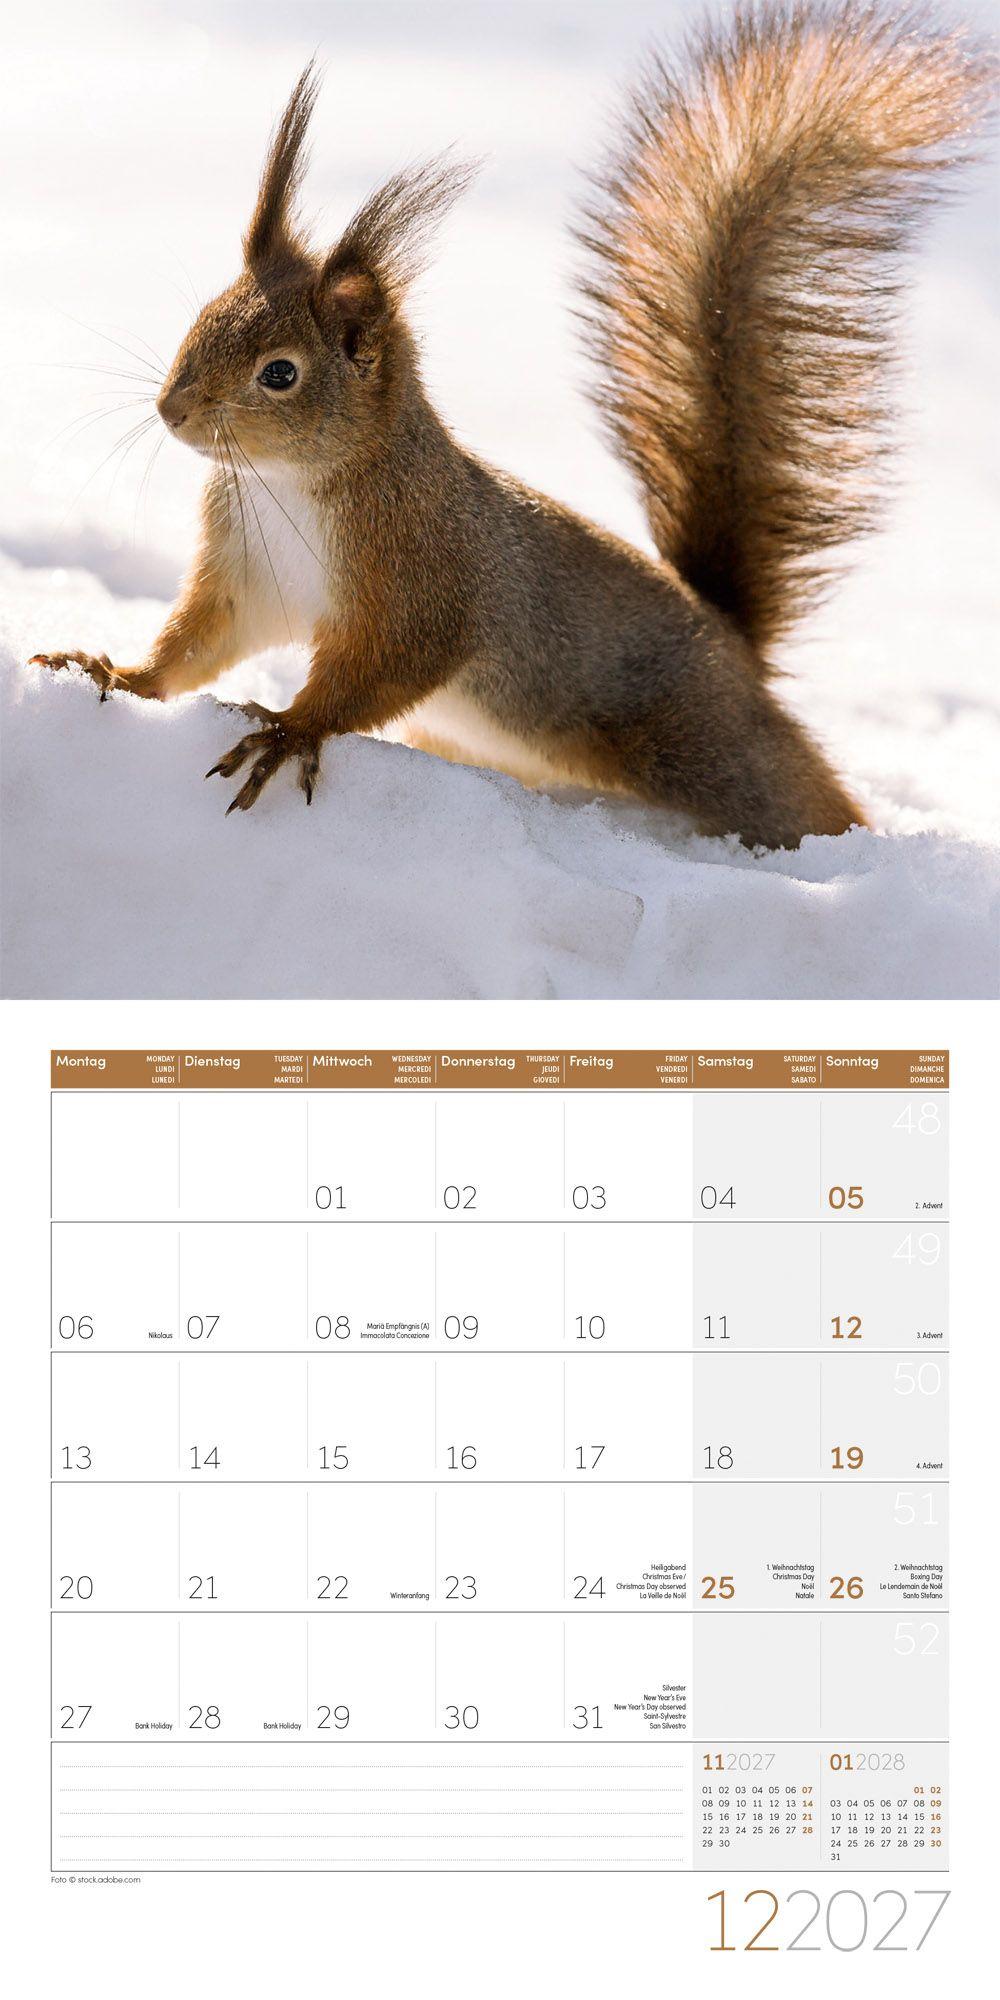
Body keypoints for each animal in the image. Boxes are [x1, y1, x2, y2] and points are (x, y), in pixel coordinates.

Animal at [30, 2, 993, 847]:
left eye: (280, 374)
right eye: (200, 317)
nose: (171, 409)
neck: (289, 485)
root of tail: (731, 642)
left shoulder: (425, 579)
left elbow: (382, 671)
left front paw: (289, 731)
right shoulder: (246, 574)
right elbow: (198, 641)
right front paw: (115, 673)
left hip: (706, 748)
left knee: (799, 799)